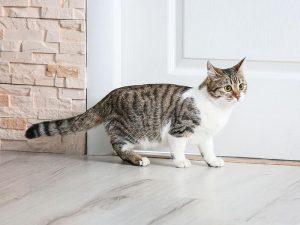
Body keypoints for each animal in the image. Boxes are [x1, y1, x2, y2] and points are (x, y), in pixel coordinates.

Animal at [25, 59, 246, 168]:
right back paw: (138, 159)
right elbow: (178, 148)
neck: (217, 108)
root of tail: (110, 95)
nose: (238, 95)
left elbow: (208, 150)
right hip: (129, 129)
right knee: (117, 145)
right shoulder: (178, 129)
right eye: (227, 88)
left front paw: (212, 161)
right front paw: (181, 161)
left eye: (242, 85)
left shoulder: (206, 136)